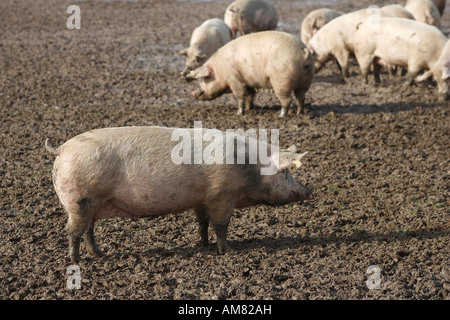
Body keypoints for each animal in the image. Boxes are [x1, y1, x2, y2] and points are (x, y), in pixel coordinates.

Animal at [44, 125, 312, 262]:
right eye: (285, 173)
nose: (309, 191)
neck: (249, 168)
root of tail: (61, 148)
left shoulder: (202, 199)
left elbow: (203, 222)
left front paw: (202, 243)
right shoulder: (222, 195)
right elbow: (221, 225)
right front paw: (227, 250)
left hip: (92, 204)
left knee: (89, 230)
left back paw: (99, 253)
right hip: (80, 201)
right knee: (73, 232)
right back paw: (76, 260)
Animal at [185, 30, 314, 118]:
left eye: (204, 79)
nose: (192, 93)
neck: (220, 68)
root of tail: (302, 51)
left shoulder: (234, 79)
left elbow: (240, 96)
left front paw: (239, 114)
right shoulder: (249, 82)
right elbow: (250, 96)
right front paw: (249, 109)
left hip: (281, 81)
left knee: (287, 100)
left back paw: (281, 115)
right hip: (305, 82)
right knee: (301, 98)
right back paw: (299, 113)